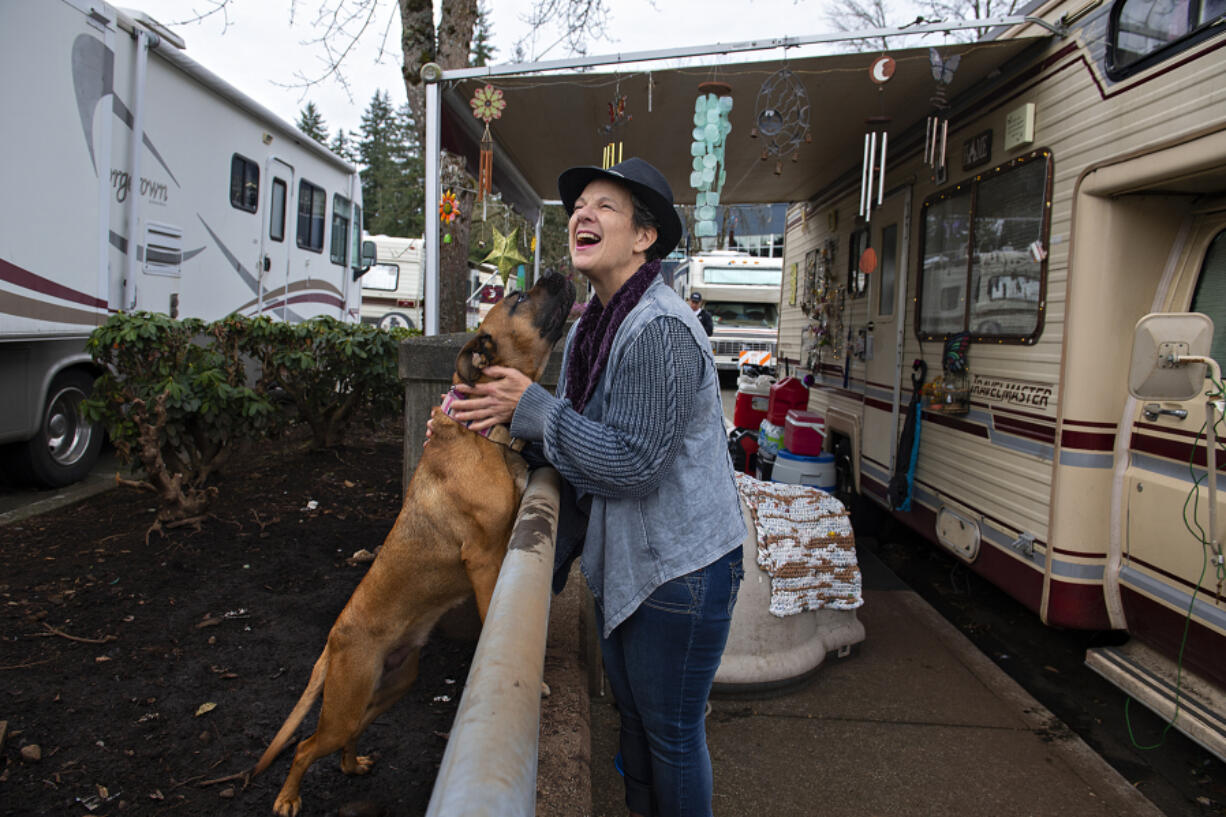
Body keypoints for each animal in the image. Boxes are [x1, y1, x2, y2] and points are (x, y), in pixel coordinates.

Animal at [252, 272, 573, 814]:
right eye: (518, 298)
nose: (559, 272)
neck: (483, 432)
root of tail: (331, 644)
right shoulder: (484, 560)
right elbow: (490, 608)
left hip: (391, 686)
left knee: (345, 737)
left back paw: (351, 765)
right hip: (344, 702)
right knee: (305, 746)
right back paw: (288, 798)